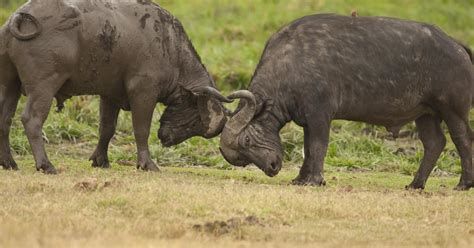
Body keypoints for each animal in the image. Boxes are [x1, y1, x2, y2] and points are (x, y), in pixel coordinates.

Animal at [0, 0, 230, 174]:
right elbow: (141, 129)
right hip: (44, 86)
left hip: (10, 84)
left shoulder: (109, 95)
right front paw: (147, 164)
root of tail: (18, 18)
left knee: (5, 119)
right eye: (196, 119)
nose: (167, 140)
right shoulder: (143, 92)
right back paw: (45, 165)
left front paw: (100, 160)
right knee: (31, 120)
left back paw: (9, 163)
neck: (171, 48)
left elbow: (107, 128)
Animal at [219, 14, 474, 190]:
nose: (271, 168)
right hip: (425, 114)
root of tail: (456, 45)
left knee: (462, 140)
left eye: (247, 140)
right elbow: (308, 149)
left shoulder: (320, 116)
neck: (290, 65)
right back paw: (415, 184)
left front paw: (315, 180)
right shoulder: (308, 120)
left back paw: (464, 183)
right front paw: (301, 178)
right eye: (241, 157)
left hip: (452, 110)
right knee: (435, 143)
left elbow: (317, 147)